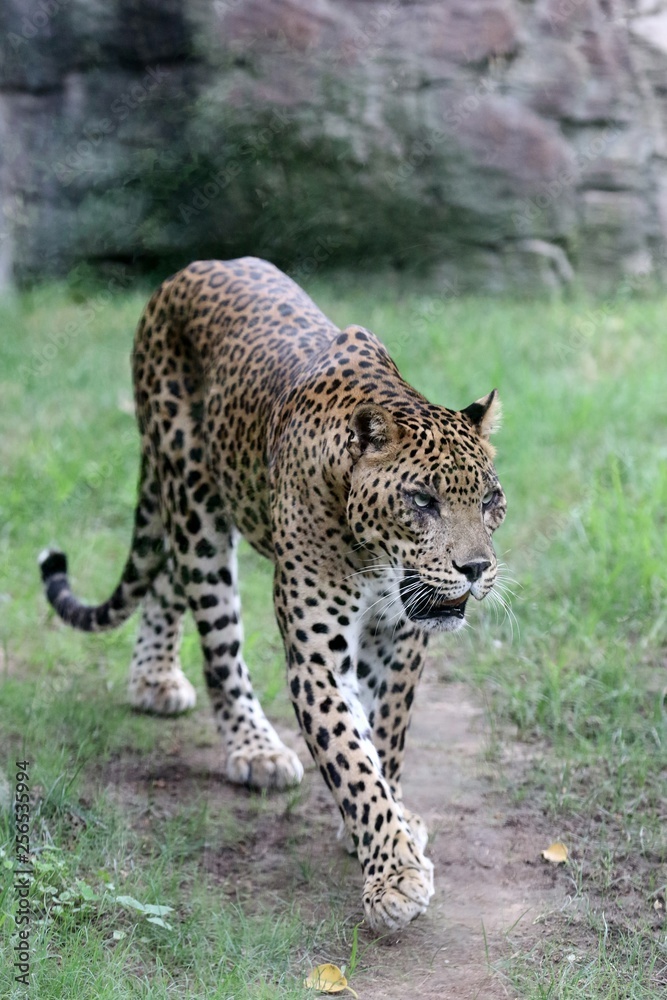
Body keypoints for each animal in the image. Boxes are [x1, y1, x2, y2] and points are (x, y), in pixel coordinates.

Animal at [39, 257, 506, 933]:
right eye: (422, 501)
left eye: (491, 500)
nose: (475, 569)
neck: (375, 557)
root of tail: (185, 272)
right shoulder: (317, 658)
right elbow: (351, 757)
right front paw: (394, 876)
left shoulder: (402, 641)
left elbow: (385, 737)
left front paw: (390, 827)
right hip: (196, 503)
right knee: (218, 644)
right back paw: (255, 748)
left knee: (164, 574)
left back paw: (153, 678)